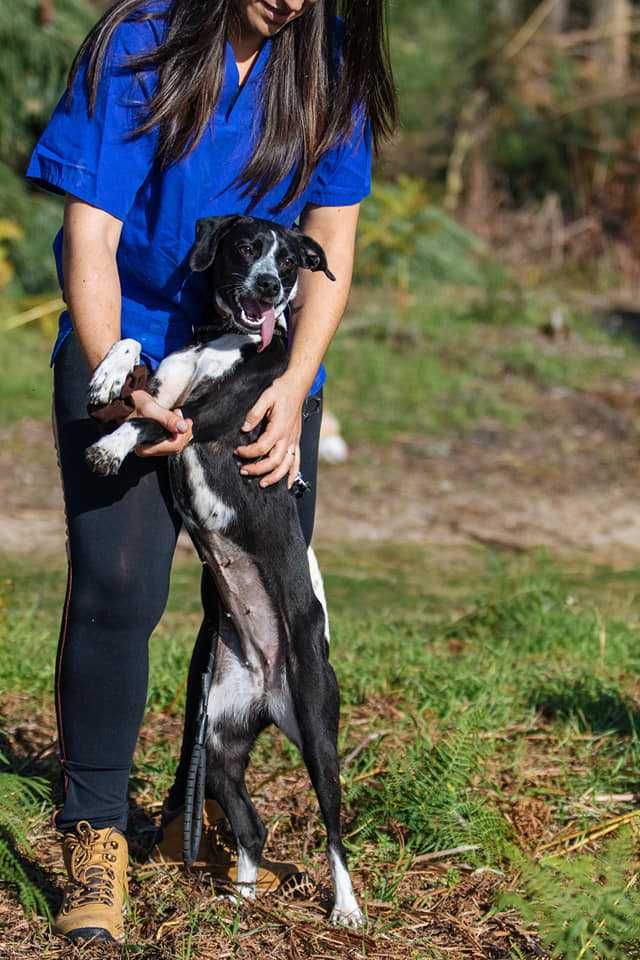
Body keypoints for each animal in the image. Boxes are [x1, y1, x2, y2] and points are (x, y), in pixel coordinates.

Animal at [85, 219, 364, 928]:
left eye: (291, 261)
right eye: (246, 247)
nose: (269, 288)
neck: (221, 341)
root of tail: (270, 687)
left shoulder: (201, 419)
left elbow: (145, 423)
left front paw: (108, 446)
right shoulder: (166, 388)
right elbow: (134, 355)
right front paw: (104, 378)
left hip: (317, 732)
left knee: (334, 827)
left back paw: (346, 908)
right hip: (213, 746)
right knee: (251, 824)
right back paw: (240, 895)